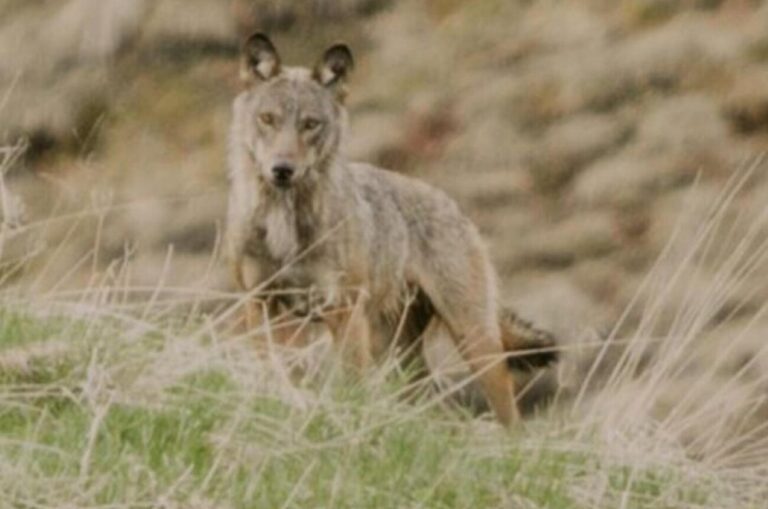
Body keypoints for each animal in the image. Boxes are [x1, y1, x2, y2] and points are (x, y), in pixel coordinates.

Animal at [225, 33, 557, 426]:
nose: (282, 169)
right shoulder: (260, 302)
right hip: (398, 351)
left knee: (510, 414)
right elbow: (271, 367)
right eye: (267, 119)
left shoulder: (342, 310)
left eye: (310, 124)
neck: (284, 226)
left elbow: (351, 382)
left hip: (473, 342)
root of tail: (456, 207)